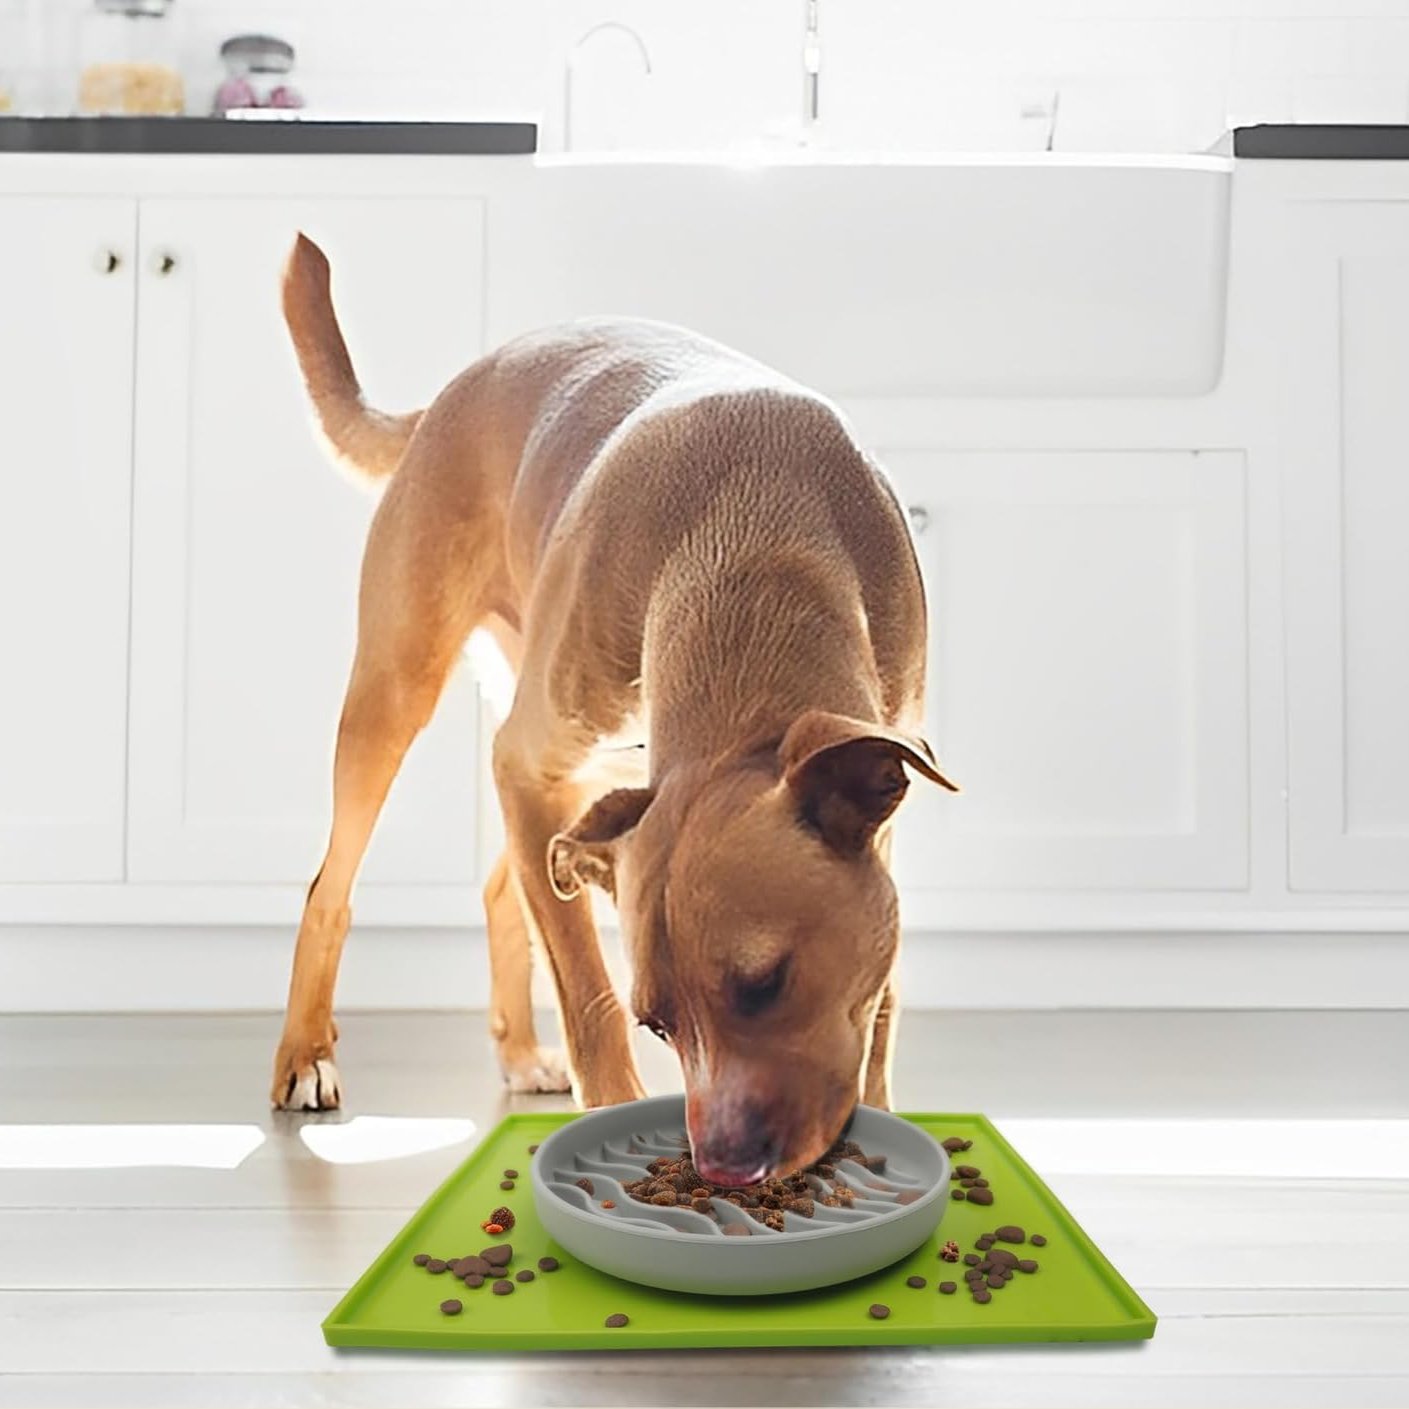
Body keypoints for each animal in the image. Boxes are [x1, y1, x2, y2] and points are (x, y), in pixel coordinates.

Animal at [271, 236, 958, 1183]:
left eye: (765, 983)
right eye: (657, 1023)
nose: (722, 1165)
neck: (755, 551)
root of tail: (445, 396)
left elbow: (880, 1003)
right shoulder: (531, 769)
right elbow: (586, 994)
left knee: (504, 887)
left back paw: (519, 1052)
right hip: (397, 692)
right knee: (331, 887)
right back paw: (305, 1054)